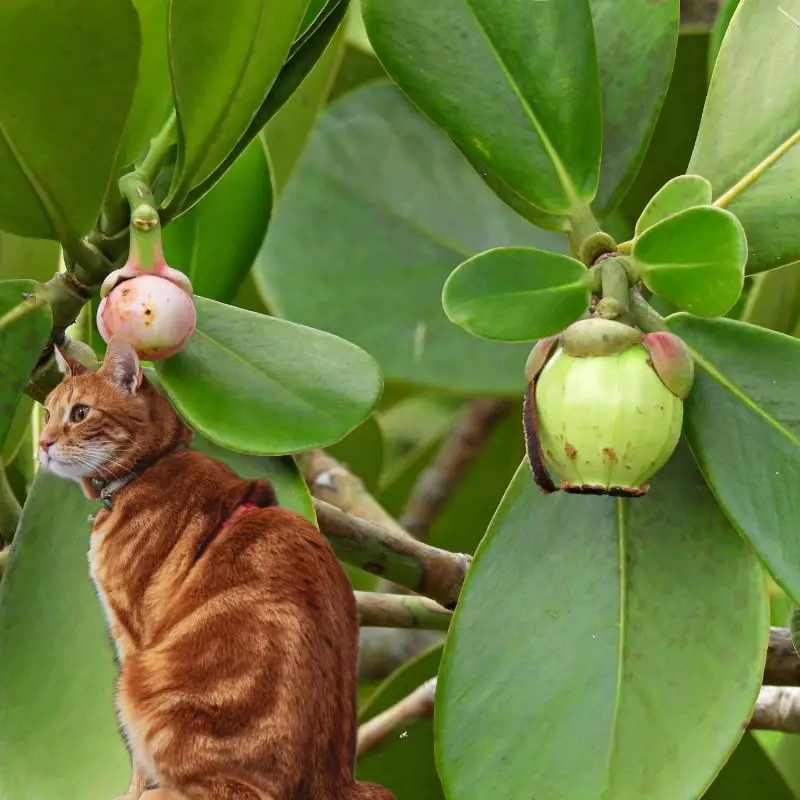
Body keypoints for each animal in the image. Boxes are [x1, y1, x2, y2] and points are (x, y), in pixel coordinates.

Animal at [40, 336, 396, 800]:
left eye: (80, 413)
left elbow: (136, 760)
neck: (149, 467)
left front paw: (133, 792)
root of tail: (335, 784)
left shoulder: (132, 633)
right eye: (47, 413)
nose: (42, 444)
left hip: (140, 682)